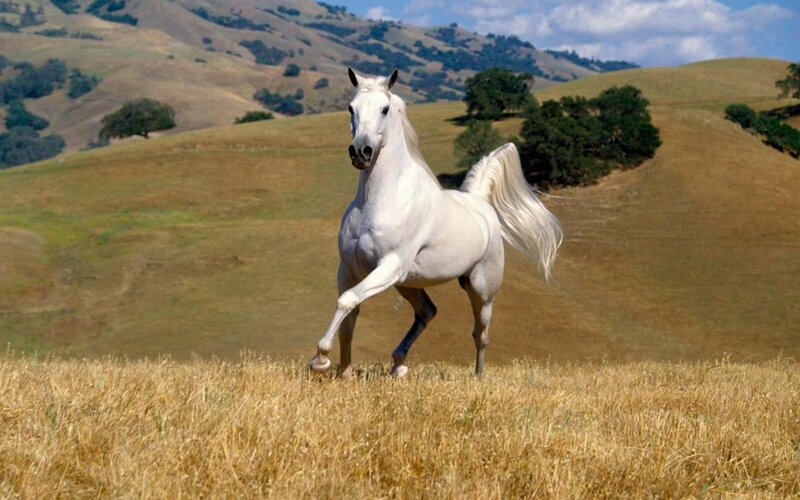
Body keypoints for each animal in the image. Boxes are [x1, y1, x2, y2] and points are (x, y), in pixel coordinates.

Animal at [309, 68, 563, 378]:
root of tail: (480, 203)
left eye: (384, 109)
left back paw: (478, 378)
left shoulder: (389, 265)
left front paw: (320, 360)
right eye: (350, 108)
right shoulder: (349, 269)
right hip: (407, 283)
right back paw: (398, 364)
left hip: (480, 289)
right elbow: (349, 317)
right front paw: (343, 373)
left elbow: (347, 301)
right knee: (427, 311)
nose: (361, 152)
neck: (378, 200)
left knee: (480, 334)